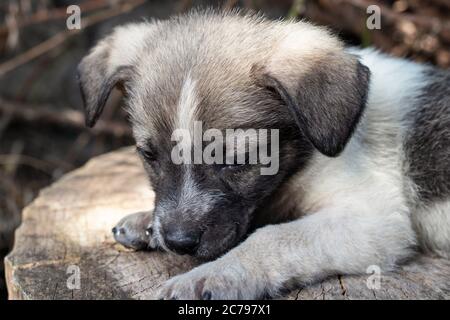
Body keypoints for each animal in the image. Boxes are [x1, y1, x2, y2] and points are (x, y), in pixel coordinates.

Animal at [78, 10, 450, 300]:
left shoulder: (372, 218)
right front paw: (147, 224)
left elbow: (273, 237)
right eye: (149, 155)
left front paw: (215, 275)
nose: (179, 242)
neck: (304, 153)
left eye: (236, 160)